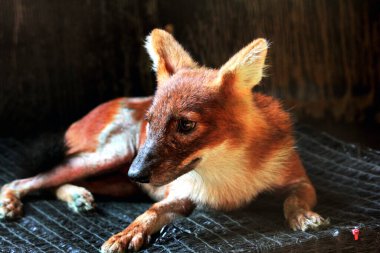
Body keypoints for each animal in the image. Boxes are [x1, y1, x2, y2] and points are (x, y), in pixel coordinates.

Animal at [0, 29, 326, 251]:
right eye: (150, 122)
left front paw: (304, 216)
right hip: (111, 157)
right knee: (26, 180)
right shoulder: (180, 194)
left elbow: (294, 200)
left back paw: (78, 196)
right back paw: (14, 200)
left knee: (53, 182)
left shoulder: (300, 180)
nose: (136, 174)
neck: (228, 176)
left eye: (186, 124)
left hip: (117, 180)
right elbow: (151, 212)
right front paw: (127, 233)